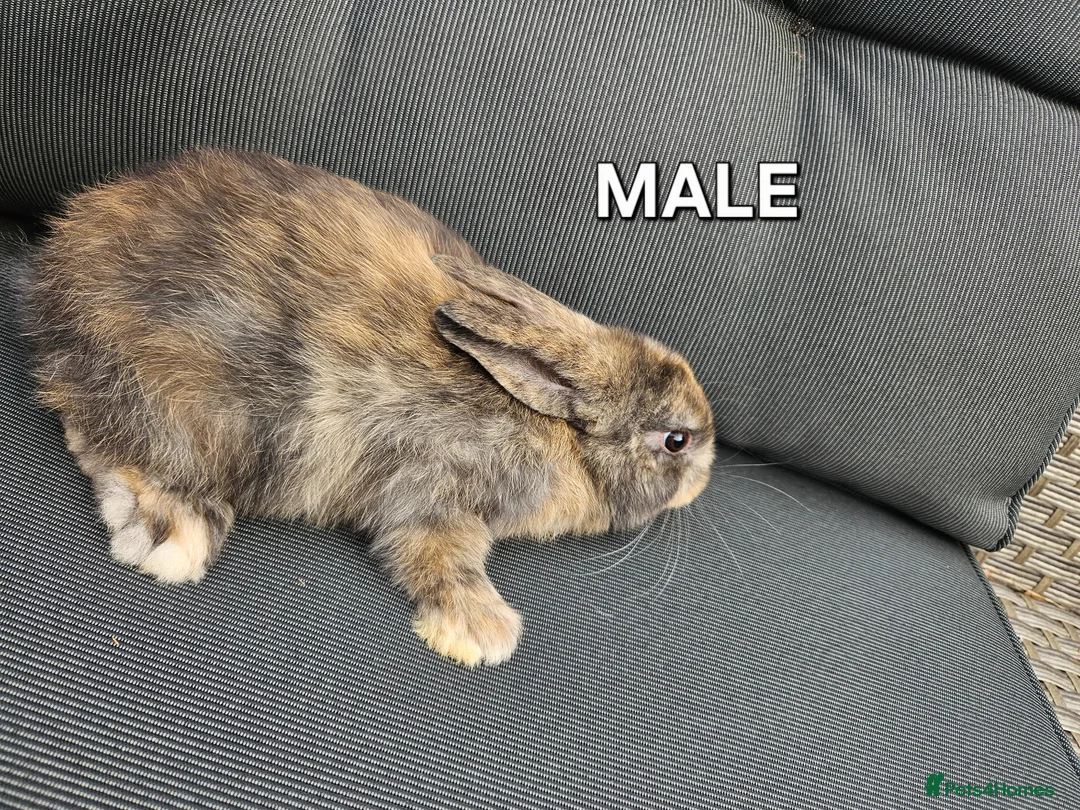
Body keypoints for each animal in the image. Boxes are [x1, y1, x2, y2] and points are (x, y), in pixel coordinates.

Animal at [23, 148, 715, 666]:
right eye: (676, 440)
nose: (703, 484)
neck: (557, 429)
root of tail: (61, 264)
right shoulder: (439, 492)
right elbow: (438, 556)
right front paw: (483, 633)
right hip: (197, 404)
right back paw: (173, 526)